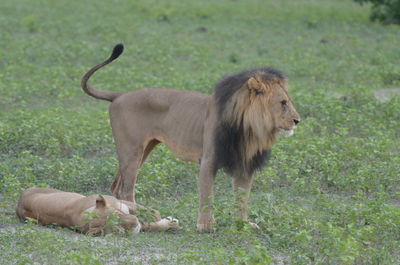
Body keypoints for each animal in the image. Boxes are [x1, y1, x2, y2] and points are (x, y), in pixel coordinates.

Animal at [16, 187, 180, 234]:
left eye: (117, 215)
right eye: (118, 229)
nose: (135, 223)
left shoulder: (121, 202)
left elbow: (151, 212)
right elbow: (151, 224)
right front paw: (170, 223)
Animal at [82, 43, 300, 231]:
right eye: (283, 103)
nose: (297, 120)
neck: (248, 128)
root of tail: (119, 95)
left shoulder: (244, 165)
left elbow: (242, 198)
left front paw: (244, 224)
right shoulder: (209, 160)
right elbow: (207, 195)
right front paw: (206, 225)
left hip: (144, 149)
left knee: (117, 186)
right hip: (131, 150)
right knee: (127, 189)